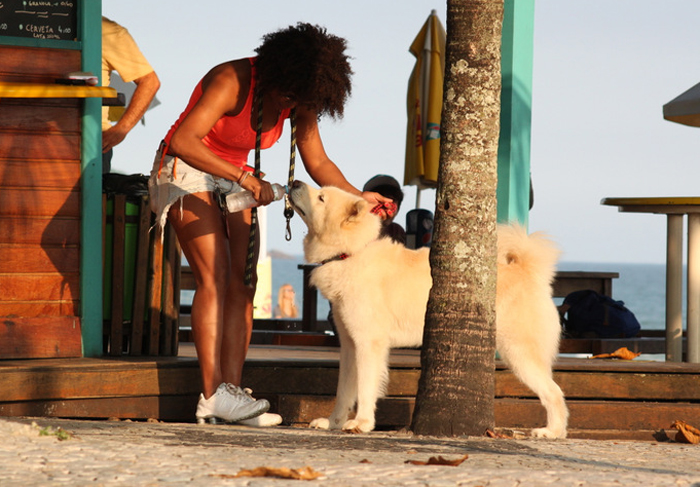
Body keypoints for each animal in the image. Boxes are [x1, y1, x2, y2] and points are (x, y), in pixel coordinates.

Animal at [288, 182, 568, 438]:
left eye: (321, 198)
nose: (294, 182)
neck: (350, 253)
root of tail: (528, 273)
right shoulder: (349, 345)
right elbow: (343, 391)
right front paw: (333, 422)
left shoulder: (368, 344)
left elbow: (366, 388)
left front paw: (362, 423)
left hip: (518, 353)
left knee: (554, 392)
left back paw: (552, 432)